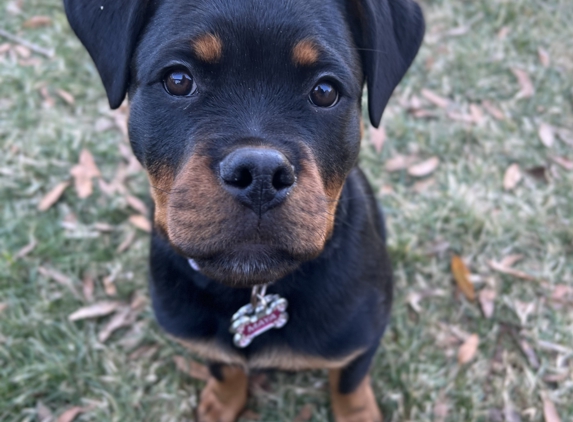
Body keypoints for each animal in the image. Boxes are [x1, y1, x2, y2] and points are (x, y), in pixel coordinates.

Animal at [63, 1, 424, 420]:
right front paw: (222, 402)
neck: (253, 287)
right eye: (177, 80)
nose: (261, 175)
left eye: (325, 90)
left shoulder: (362, 337)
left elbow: (350, 383)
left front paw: (359, 413)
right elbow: (224, 366)